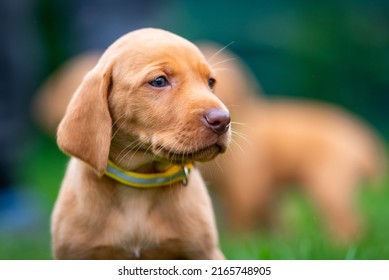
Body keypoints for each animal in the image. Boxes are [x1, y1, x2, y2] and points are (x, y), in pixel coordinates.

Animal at [200, 42, 384, 242]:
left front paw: (242, 240)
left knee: (350, 220)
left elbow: (241, 218)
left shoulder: (248, 183)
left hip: (329, 182)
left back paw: (340, 243)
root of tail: (362, 136)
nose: (220, 116)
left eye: (213, 83)